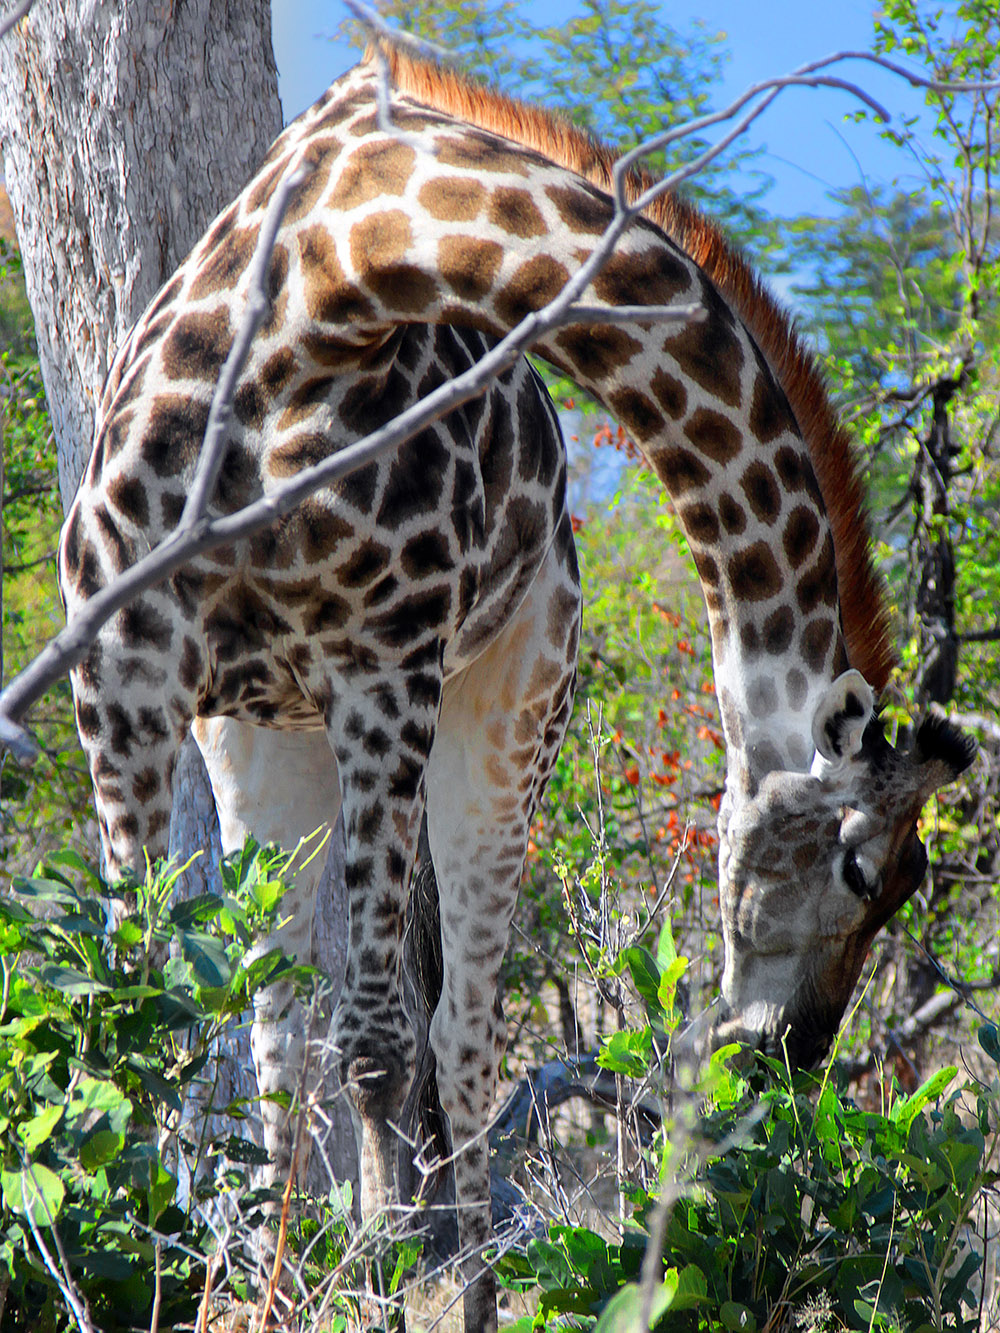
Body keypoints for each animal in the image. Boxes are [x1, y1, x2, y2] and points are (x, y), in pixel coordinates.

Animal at [58, 44, 976, 1333]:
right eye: (861, 869)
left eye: (907, 886)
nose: (787, 1054)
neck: (331, 281)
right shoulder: (125, 663)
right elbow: (139, 1011)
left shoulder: (385, 661)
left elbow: (379, 1039)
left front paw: (391, 1284)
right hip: (259, 736)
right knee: (282, 1025)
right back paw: (277, 1289)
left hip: (510, 711)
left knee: (461, 1030)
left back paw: (461, 1288)